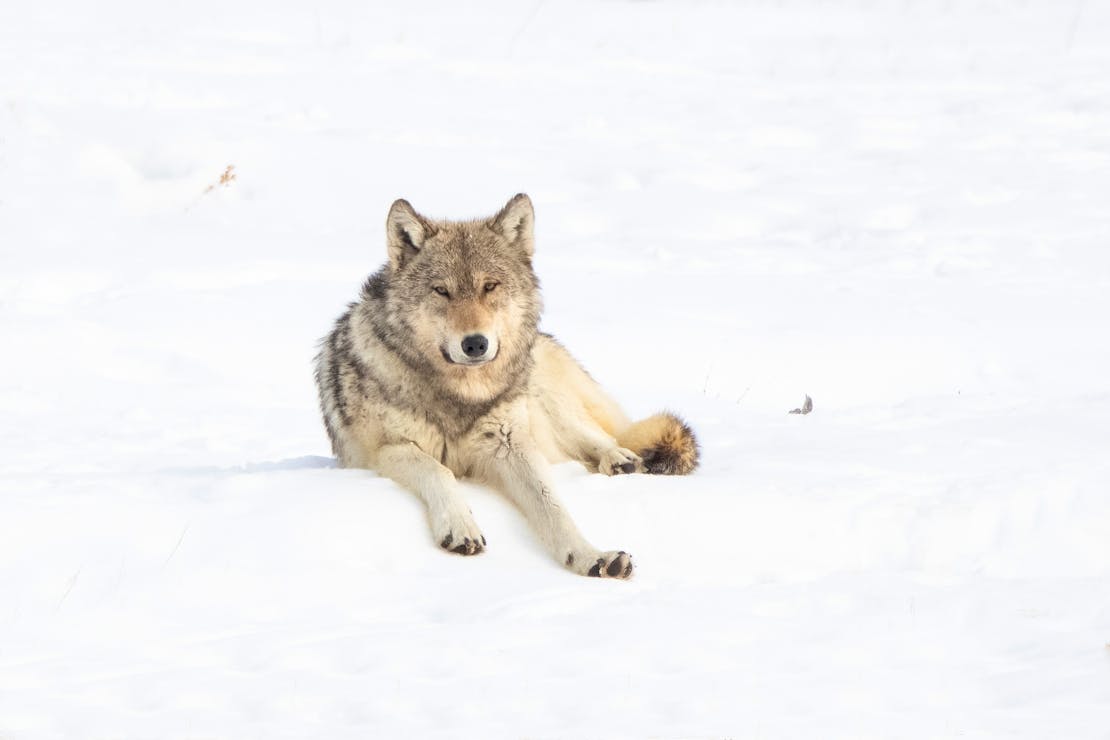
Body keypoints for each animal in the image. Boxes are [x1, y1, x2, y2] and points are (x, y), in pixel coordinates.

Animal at [315, 195, 692, 576]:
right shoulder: (387, 449)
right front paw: (460, 527)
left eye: (490, 286)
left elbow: (553, 508)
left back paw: (620, 459)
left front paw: (592, 556)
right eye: (442, 291)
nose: (475, 344)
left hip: (543, 396)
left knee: (601, 436)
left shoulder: (509, 444)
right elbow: (438, 471)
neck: (460, 395)